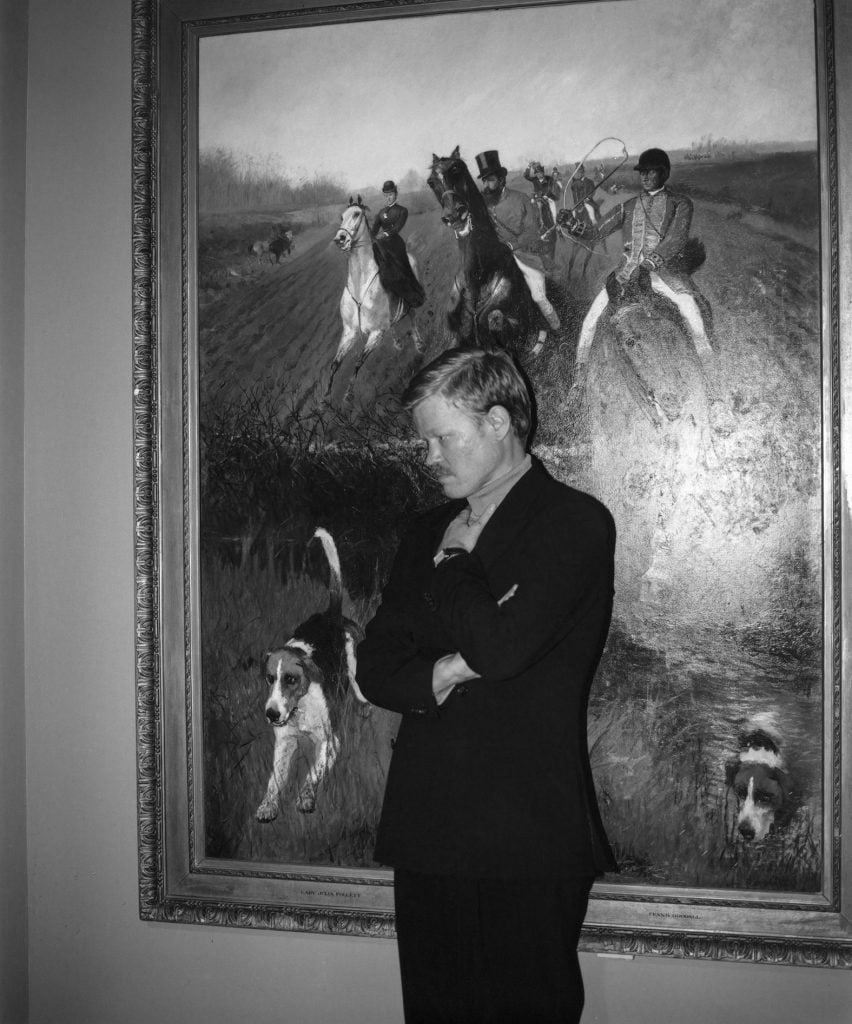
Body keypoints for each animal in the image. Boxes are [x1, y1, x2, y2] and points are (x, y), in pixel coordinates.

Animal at [327, 197, 423, 397]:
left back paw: (419, 346)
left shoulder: (375, 334)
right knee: (393, 324)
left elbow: (358, 361)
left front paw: (348, 394)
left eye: (356, 214)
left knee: (412, 318)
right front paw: (324, 400)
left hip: (410, 305)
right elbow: (335, 364)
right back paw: (398, 344)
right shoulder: (349, 333)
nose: (340, 239)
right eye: (342, 216)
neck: (359, 286)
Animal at [426, 144, 532, 352]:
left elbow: (495, 321)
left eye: (456, 168)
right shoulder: (456, 336)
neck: (478, 275)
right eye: (431, 182)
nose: (453, 215)